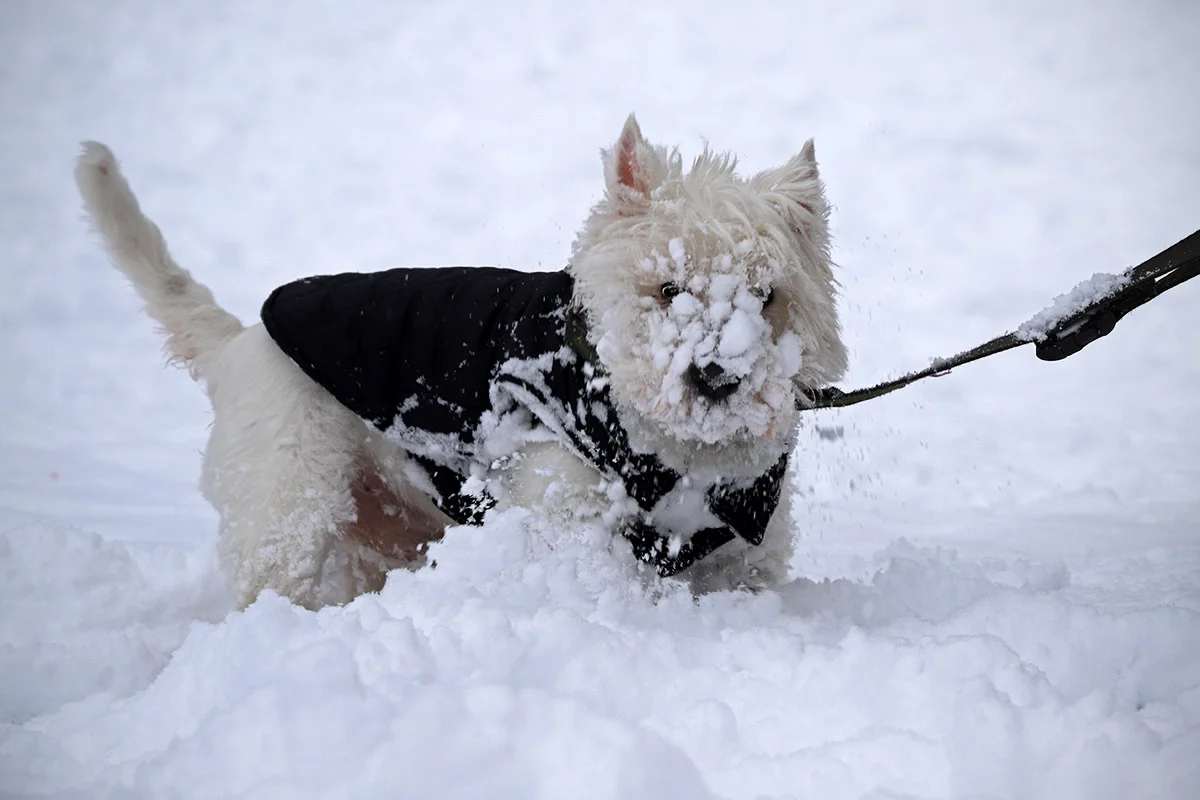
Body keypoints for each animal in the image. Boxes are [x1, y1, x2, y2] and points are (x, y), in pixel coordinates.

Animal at [75, 115, 849, 609]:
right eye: (667, 288)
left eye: (767, 296)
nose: (716, 375)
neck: (677, 451)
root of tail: (239, 342)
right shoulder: (562, 509)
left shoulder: (744, 552)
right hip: (288, 498)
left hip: (382, 530)